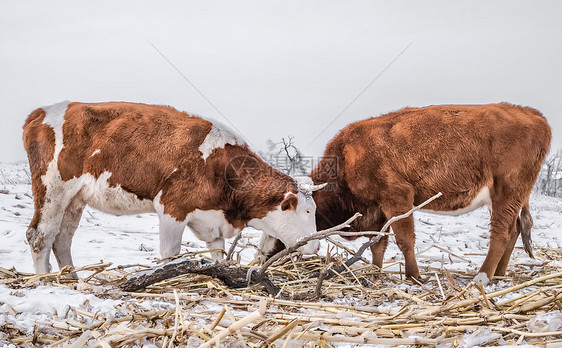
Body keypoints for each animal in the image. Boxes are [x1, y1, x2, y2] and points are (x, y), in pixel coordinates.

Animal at [23, 101, 320, 278]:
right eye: (306, 212)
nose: (316, 246)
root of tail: (42, 111)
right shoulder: (172, 208)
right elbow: (170, 254)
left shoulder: (213, 223)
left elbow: (218, 255)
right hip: (53, 189)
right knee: (40, 236)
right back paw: (43, 279)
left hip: (74, 199)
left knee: (62, 238)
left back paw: (70, 279)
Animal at [308, 102, 548, 286]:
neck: (347, 157)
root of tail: (531, 113)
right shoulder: (380, 209)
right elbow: (378, 244)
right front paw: (375, 271)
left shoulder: (398, 197)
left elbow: (405, 241)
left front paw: (414, 276)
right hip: (506, 199)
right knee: (514, 229)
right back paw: (498, 273)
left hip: (507, 193)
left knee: (501, 234)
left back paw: (481, 277)